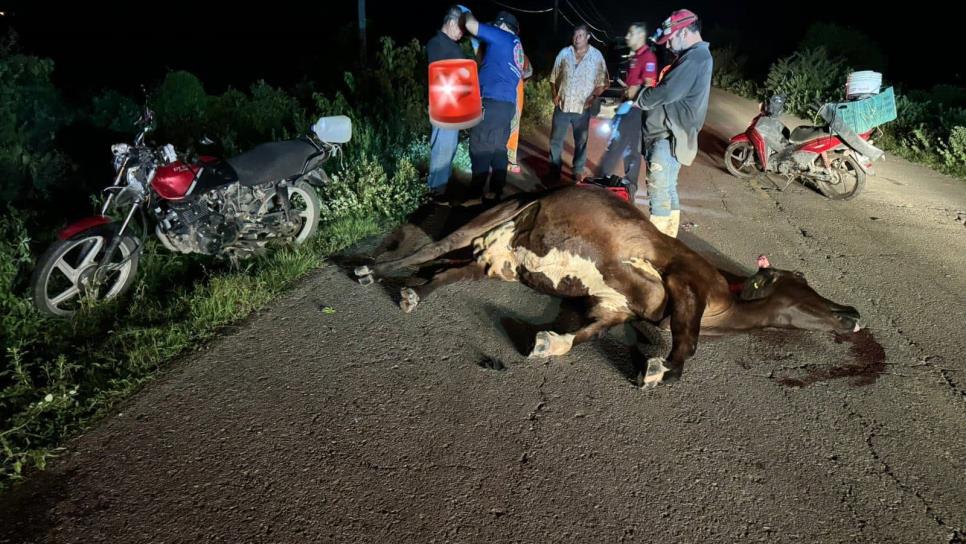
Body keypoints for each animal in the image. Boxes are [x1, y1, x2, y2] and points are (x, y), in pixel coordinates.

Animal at [358, 187, 864, 386]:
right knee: (431, 250)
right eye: (799, 279)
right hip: (489, 220)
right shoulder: (685, 279)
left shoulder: (614, 306)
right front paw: (662, 369)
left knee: (446, 270)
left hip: (498, 261)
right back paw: (373, 269)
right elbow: (686, 338)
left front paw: (546, 342)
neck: (724, 302)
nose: (854, 313)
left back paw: (412, 292)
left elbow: (582, 334)